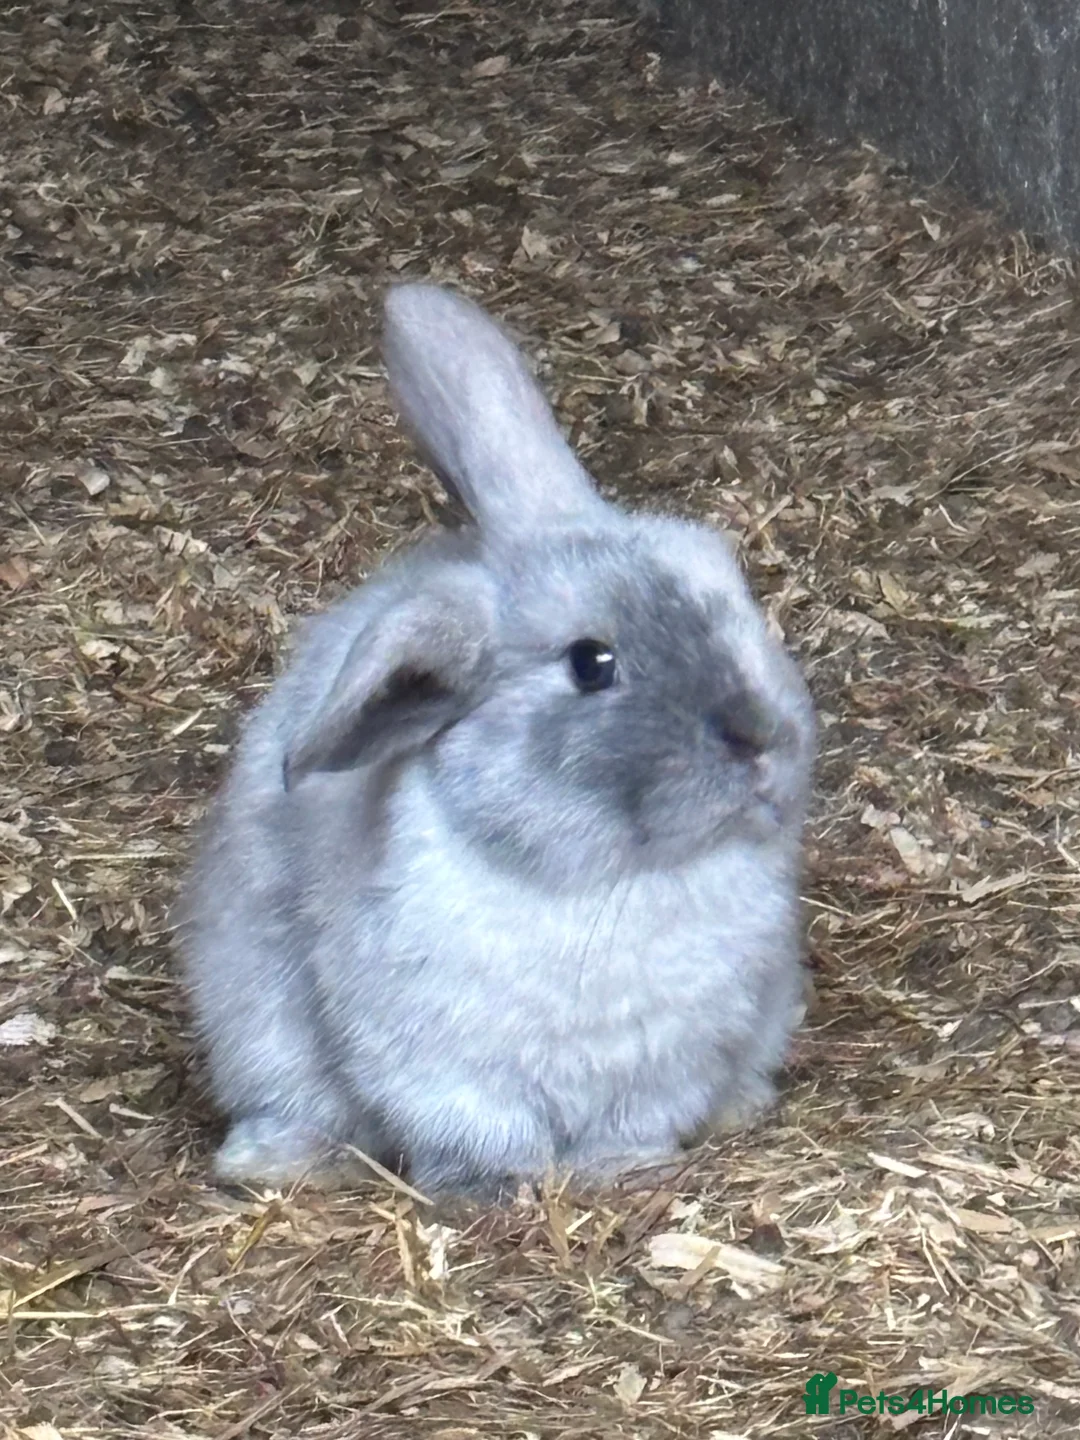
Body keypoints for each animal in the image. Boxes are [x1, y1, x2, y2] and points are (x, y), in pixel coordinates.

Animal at [177, 282, 816, 1202]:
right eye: (591, 663)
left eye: (733, 590)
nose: (765, 741)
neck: (603, 887)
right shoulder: (437, 1064)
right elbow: (476, 1131)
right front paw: (489, 1191)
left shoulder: (667, 1066)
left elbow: (633, 1126)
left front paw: (621, 1171)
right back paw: (274, 1159)